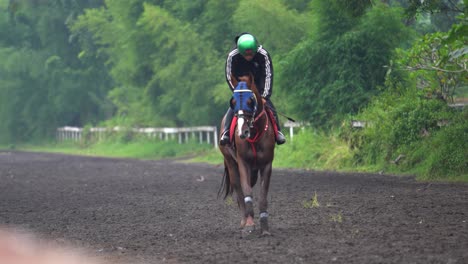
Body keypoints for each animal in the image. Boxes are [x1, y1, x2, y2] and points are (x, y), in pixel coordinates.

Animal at [218, 74, 276, 237]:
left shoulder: (266, 164)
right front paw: (249, 224)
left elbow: (262, 197)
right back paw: (244, 220)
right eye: (233, 102)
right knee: (238, 187)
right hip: (230, 161)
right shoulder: (243, 162)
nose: (241, 132)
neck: (255, 133)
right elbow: (246, 191)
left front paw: (265, 228)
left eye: (250, 101)